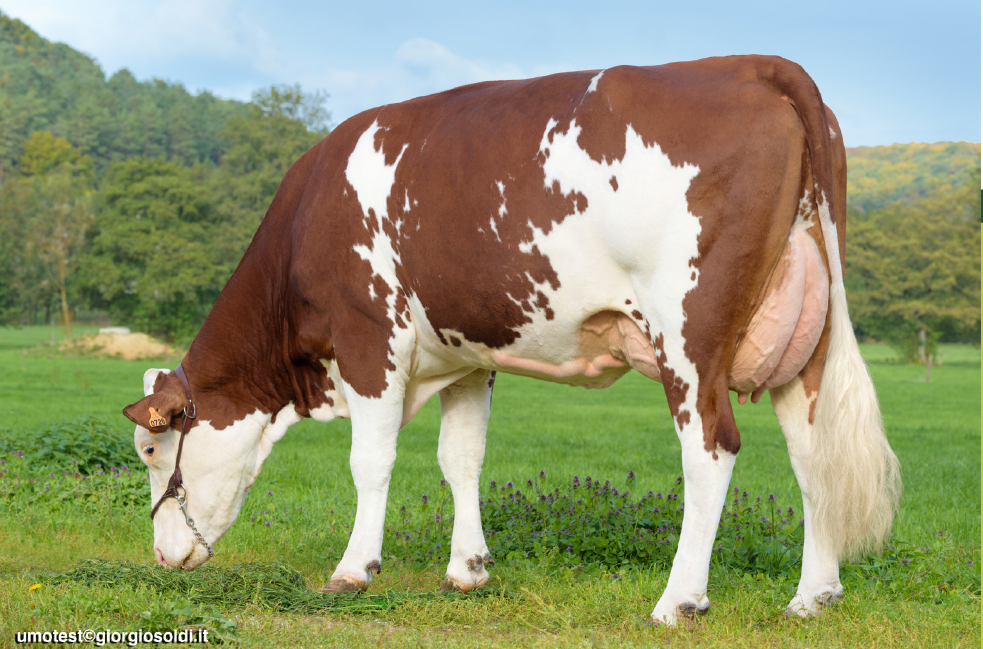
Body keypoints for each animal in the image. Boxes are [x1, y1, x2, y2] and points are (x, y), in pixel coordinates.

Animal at [123, 55, 901, 625]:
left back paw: (677, 600)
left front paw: (352, 570)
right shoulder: (466, 354)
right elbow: (460, 458)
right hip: (804, 339)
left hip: (688, 333)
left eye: (153, 450)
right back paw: (812, 596)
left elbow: (370, 461)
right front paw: (466, 568)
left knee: (710, 448)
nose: (161, 557)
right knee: (813, 453)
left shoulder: (370, 339)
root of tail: (754, 65)